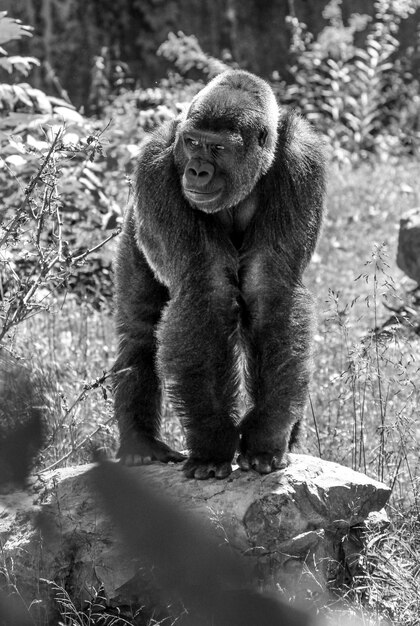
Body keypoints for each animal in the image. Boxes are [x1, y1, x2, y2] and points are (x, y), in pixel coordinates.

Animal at [113, 69, 326, 478]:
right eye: (193, 143)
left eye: (218, 149)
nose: (196, 170)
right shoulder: (155, 164)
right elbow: (206, 288)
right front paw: (212, 441)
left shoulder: (302, 161)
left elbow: (269, 288)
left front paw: (266, 435)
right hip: (134, 223)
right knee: (139, 328)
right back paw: (141, 443)